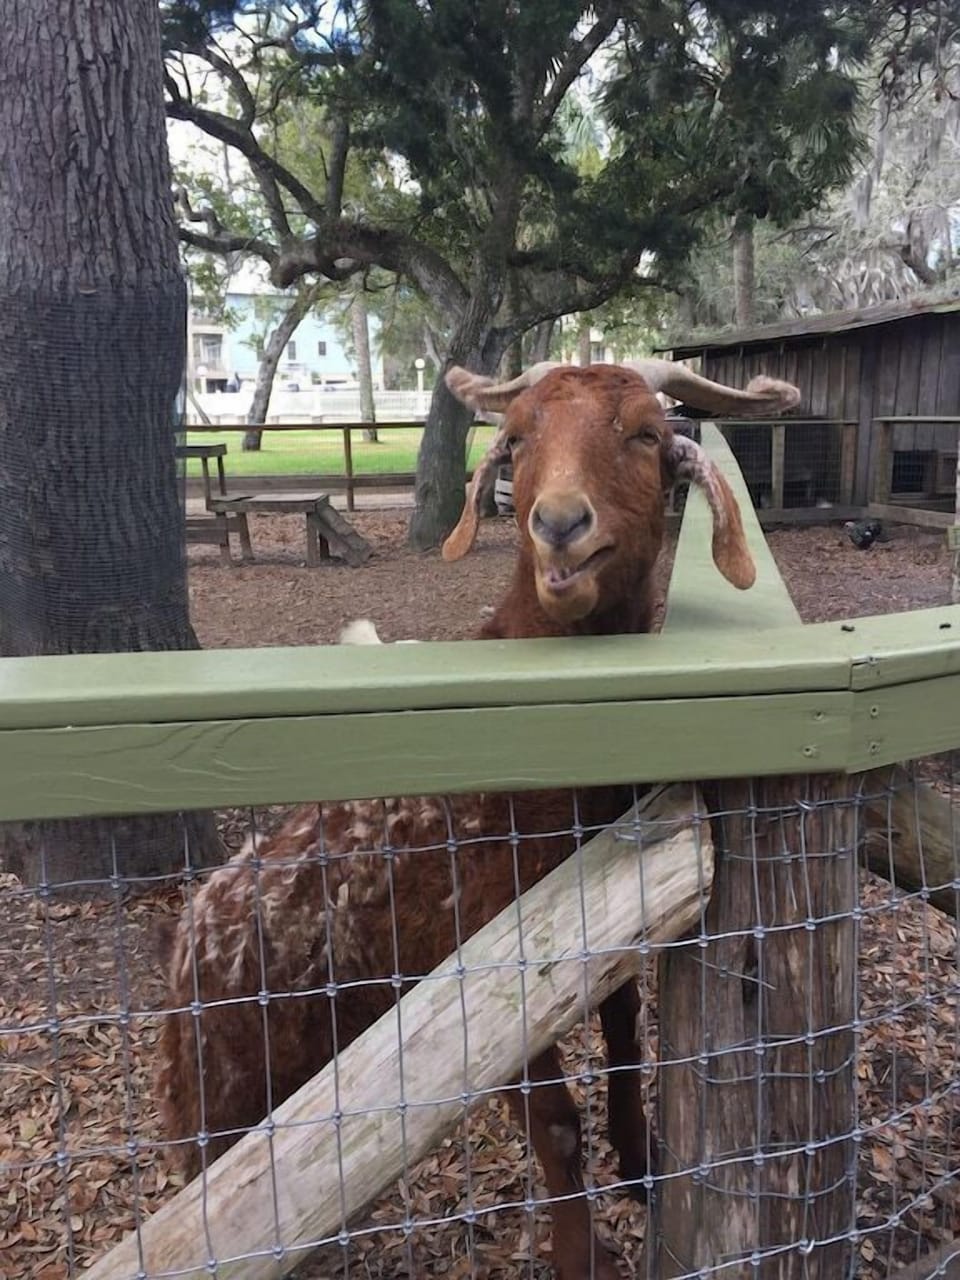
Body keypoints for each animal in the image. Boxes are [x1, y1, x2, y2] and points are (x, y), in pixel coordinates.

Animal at [158, 360, 799, 1280]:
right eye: (518, 437)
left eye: (646, 433)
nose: (560, 524)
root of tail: (184, 942)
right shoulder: (484, 967)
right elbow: (557, 1127)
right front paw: (585, 1258)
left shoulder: (604, 909)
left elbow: (626, 1035)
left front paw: (643, 1167)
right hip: (226, 1082)